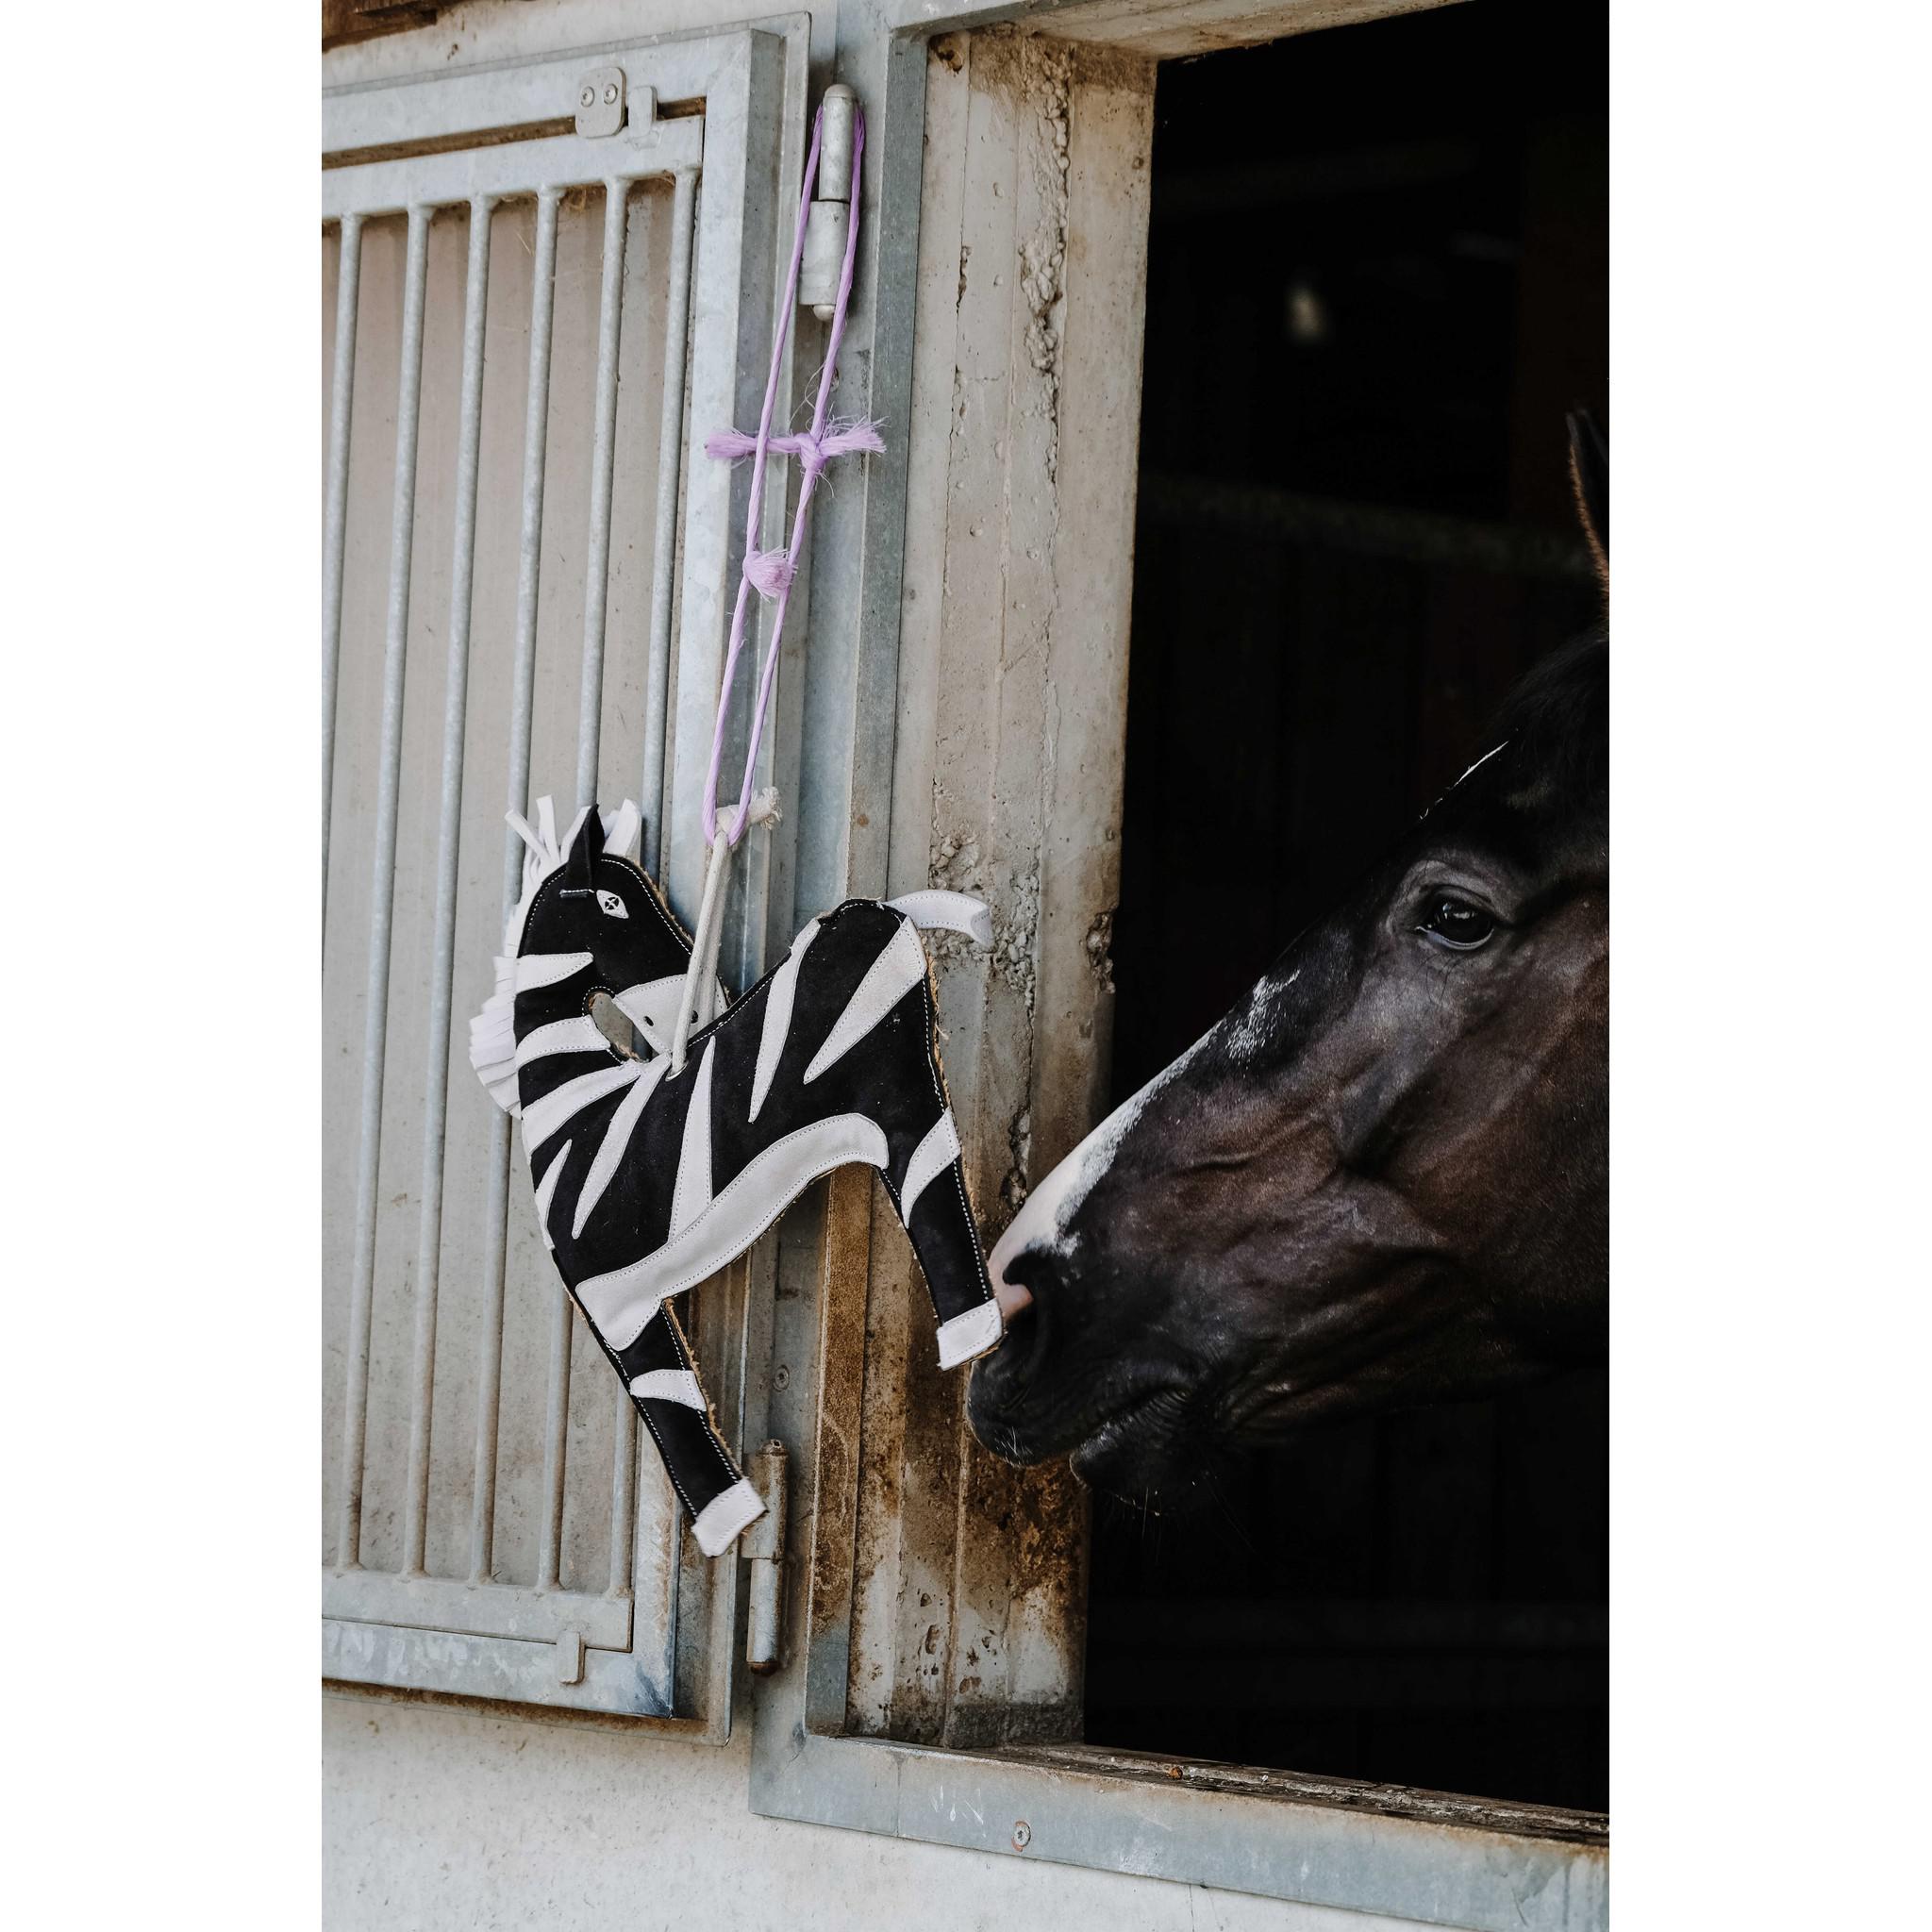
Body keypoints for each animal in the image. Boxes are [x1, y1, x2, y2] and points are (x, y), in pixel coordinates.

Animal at [471, 797, 1004, 1555]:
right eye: (613, 902)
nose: (706, 1007)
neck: (572, 1105)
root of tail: (882, 908)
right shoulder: (618, 1298)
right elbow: (676, 1401)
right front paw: (735, 1524)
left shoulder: (607, 1301)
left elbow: (671, 1408)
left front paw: (730, 1525)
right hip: (902, 1102)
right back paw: (973, 1339)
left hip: (896, 1094)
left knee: (935, 1205)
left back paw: (970, 1341)